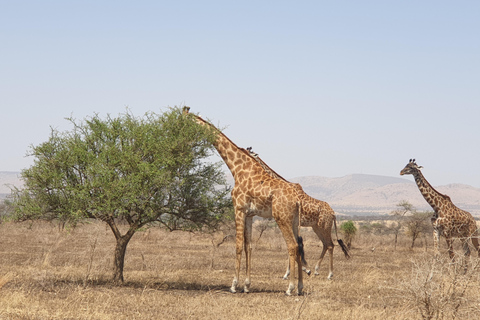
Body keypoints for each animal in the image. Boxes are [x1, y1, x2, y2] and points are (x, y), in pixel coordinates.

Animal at [184, 107, 304, 296]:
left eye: (184, 121)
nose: (182, 137)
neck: (237, 168)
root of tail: (298, 200)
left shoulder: (238, 209)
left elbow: (238, 245)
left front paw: (233, 285)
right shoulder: (249, 214)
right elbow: (249, 246)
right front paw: (247, 286)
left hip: (282, 218)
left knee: (292, 246)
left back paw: (290, 288)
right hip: (293, 220)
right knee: (298, 246)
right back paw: (299, 287)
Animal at [248, 148, 348, 280]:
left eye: (250, 153)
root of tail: (333, 213)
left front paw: (288, 273)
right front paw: (291, 272)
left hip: (325, 226)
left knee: (330, 245)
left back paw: (329, 274)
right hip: (317, 227)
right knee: (326, 244)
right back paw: (316, 270)